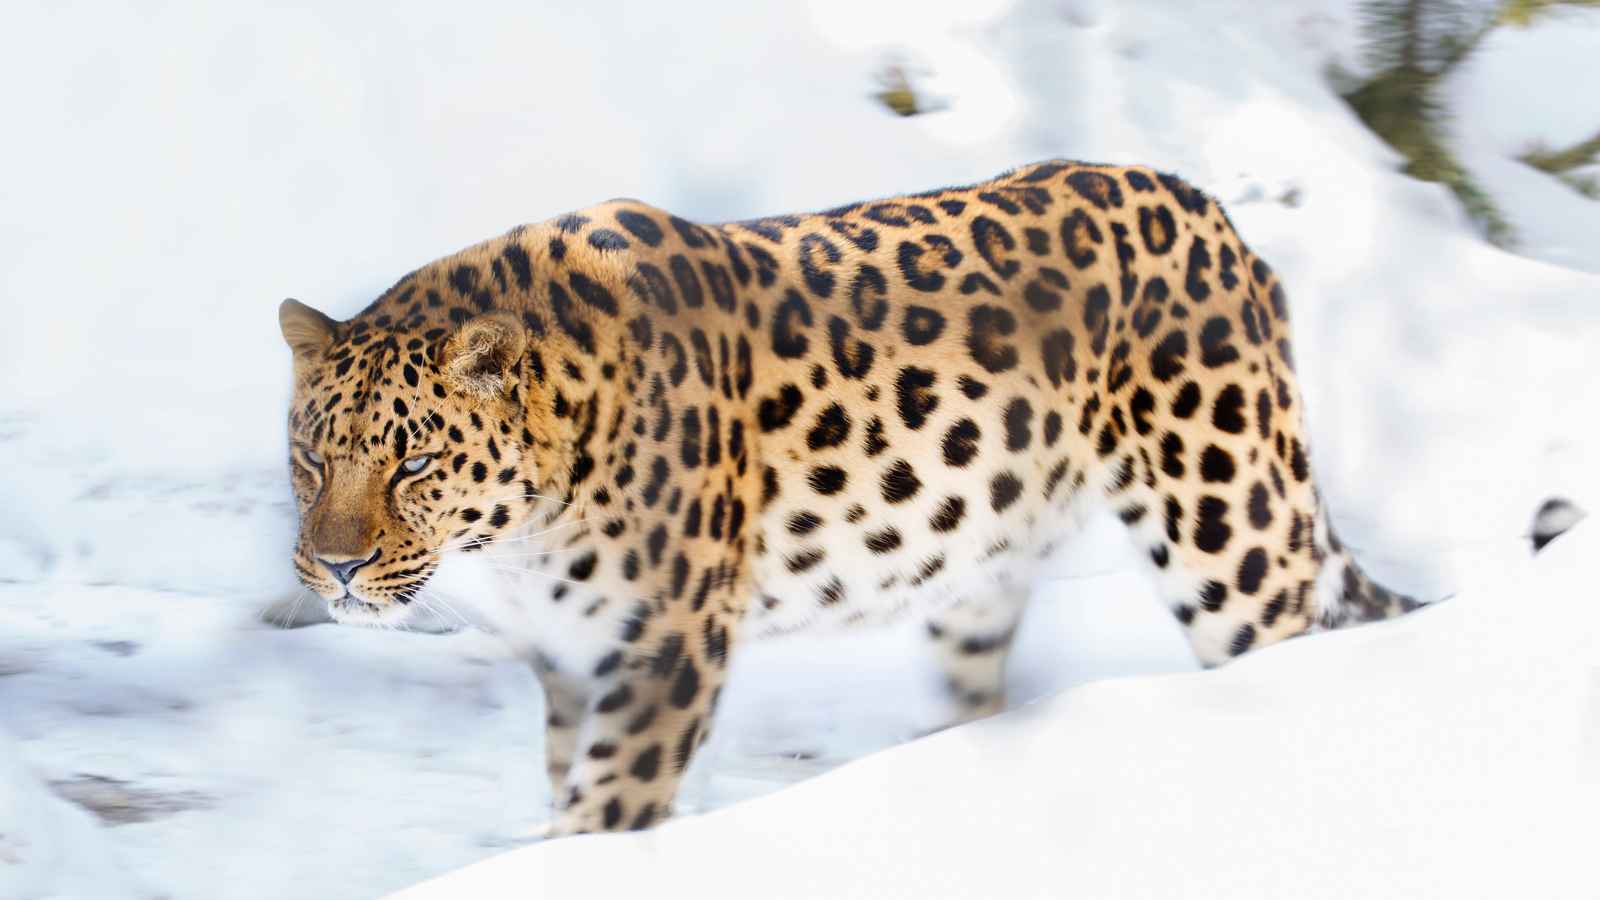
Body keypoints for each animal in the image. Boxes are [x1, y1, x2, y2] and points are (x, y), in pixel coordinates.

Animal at [278, 159, 1430, 836]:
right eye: (312, 459)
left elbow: (605, 810)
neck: (519, 536)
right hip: (981, 569)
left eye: (414, 464)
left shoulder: (664, 651)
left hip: (1231, 531)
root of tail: (1213, 212)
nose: (334, 567)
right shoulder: (570, 661)